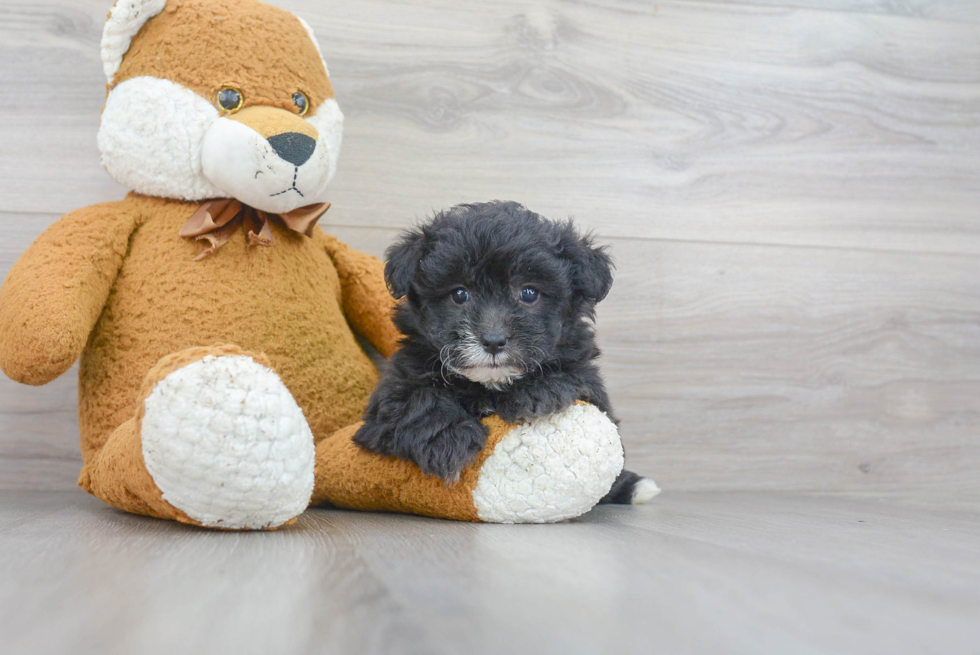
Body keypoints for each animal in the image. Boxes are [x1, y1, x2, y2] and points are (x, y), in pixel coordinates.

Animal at [356, 202, 656, 504]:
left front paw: (538, 392)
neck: (490, 384)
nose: (493, 340)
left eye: (528, 293)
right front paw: (449, 441)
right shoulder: (393, 389)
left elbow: (573, 376)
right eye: (459, 294)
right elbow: (414, 399)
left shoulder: (589, 382)